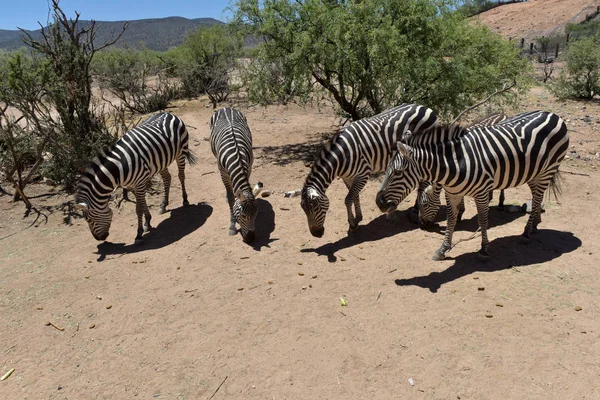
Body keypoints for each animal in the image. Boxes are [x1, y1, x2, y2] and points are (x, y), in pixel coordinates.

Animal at [74, 111, 197, 244]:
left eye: (89, 220)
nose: (99, 239)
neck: (119, 169)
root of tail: (167, 113)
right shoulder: (132, 185)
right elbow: (142, 204)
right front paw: (147, 222)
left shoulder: (140, 182)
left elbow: (138, 208)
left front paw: (139, 234)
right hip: (161, 161)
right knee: (167, 178)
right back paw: (163, 205)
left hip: (181, 152)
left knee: (181, 176)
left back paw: (185, 200)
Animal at [210, 107, 262, 244]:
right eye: (243, 215)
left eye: (257, 213)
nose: (250, 239)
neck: (236, 155)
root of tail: (226, 108)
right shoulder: (223, 173)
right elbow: (231, 198)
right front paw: (232, 225)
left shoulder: (248, 167)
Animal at [300, 104, 436, 239]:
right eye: (303, 209)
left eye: (316, 208)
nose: (316, 234)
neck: (342, 156)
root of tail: (424, 107)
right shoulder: (347, 177)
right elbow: (355, 196)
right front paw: (358, 218)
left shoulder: (363, 175)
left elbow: (348, 199)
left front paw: (352, 224)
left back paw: (415, 211)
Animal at [378, 110, 568, 260]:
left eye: (398, 172)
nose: (379, 203)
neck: (455, 164)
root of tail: (551, 114)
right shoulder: (452, 193)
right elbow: (451, 219)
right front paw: (443, 249)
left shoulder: (481, 193)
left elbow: (482, 220)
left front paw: (483, 249)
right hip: (534, 172)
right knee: (537, 197)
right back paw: (535, 224)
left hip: (549, 169)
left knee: (536, 199)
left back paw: (526, 233)